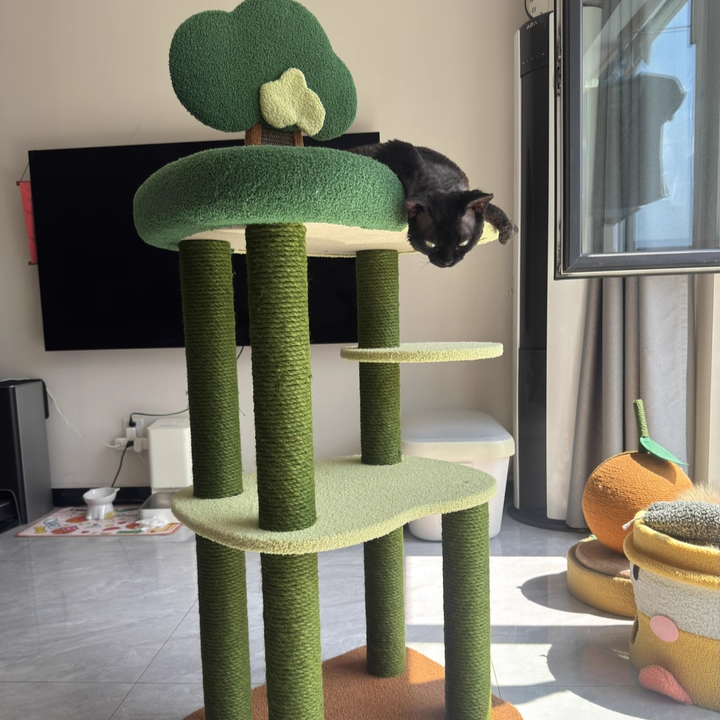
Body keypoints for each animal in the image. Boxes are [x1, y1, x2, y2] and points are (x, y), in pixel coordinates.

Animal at [350, 140, 516, 268]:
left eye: (464, 243)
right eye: (430, 245)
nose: (447, 262)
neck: (441, 184)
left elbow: (491, 208)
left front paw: (510, 230)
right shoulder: (400, 147)